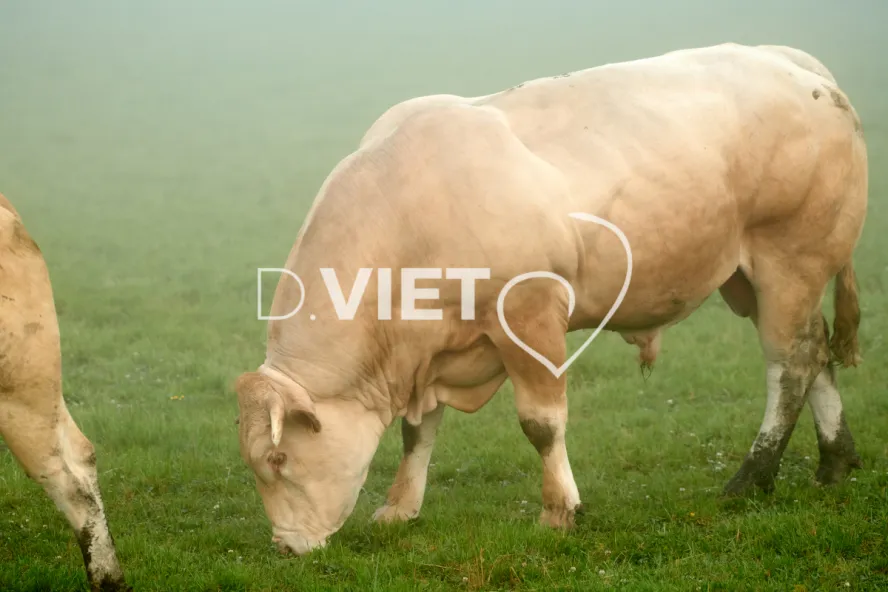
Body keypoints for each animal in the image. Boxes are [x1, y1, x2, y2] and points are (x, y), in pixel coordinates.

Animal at [235, 42, 867, 556]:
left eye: (279, 459)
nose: (286, 547)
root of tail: (790, 61)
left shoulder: (530, 315)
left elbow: (540, 424)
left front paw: (560, 510)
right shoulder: (429, 351)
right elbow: (419, 432)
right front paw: (400, 508)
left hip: (790, 261)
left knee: (790, 366)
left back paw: (752, 477)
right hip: (755, 278)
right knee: (815, 354)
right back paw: (835, 461)